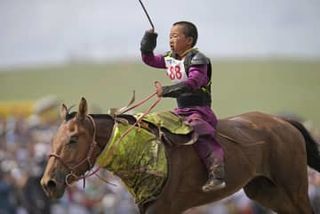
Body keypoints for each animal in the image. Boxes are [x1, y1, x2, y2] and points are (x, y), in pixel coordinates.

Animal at [40, 98, 320, 213]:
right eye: (53, 139)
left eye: (73, 139)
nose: (48, 183)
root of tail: (283, 122)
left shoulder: (164, 207)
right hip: (265, 192)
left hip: (294, 190)